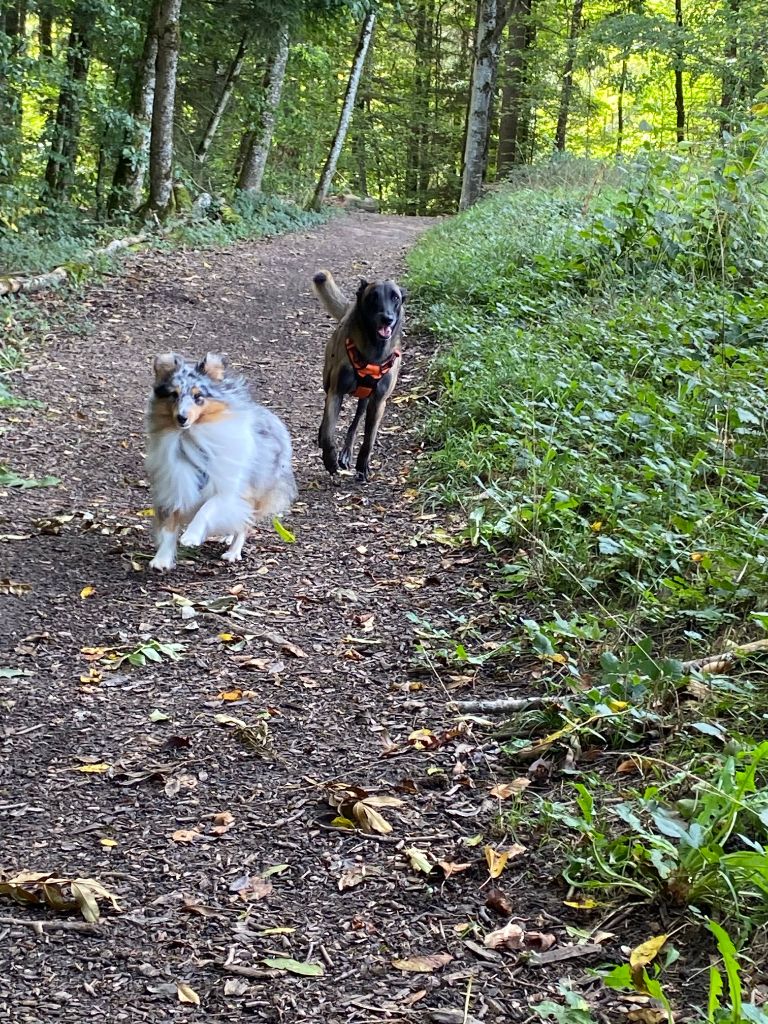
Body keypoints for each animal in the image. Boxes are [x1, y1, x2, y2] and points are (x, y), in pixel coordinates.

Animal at [144, 354, 296, 573]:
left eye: (198, 396)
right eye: (173, 395)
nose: (181, 418)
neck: (192, 440)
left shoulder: (228, 489)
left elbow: (208, 508)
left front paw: (191, 536)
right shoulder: (176, 486)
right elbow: (169, 528)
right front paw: (162, 559)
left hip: (253, 491)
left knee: (243, 524)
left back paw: (233, 552)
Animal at [313, 270, 409, 481]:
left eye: (395, 298)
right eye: (373, 297)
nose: (387, 319)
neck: (374, 351)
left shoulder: (378, 402)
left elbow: (369, 439)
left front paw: (362, 466)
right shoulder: (336, 392)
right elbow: (329, 433)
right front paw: (329, 460)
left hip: (365, 400)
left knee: (355, 424)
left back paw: (347, 453)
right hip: (327, 382)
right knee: (326, 417)